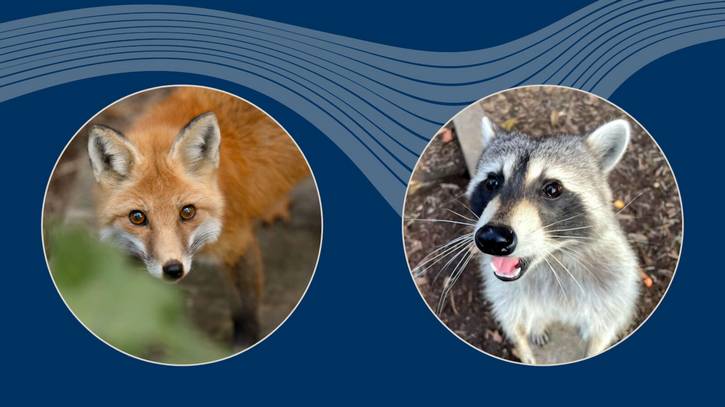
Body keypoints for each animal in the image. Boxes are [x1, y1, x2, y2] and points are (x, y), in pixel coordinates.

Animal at [87, 87, 311, 347]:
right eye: (137, 217)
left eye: (187, 211)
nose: (173, 269)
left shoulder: (238, 244)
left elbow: (245, 312)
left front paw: (242, 344)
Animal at [467, 116, 640, 364]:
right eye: (492, 183)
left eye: (552, 189)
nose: (492, 238)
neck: (551, 260)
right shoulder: (503, 290)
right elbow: (513, 322)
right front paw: (524, 348)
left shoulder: (614, 284)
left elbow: (604, 329)